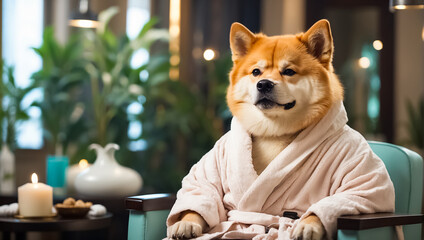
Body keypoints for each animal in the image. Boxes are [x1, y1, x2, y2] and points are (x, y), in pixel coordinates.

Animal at [167, 19, 342, 240]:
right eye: (256, 72)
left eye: (289, 71)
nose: (264, 84)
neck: (274, 132)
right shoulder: (211, 168)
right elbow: (202, 194)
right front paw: (187, 222)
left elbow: (333, 203)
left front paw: (308, 225)